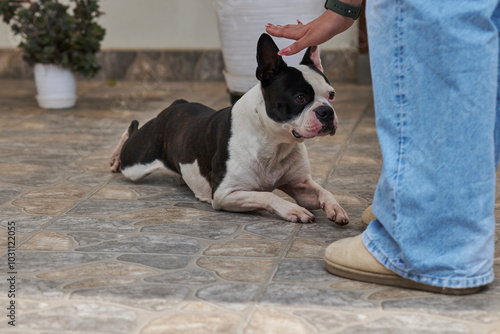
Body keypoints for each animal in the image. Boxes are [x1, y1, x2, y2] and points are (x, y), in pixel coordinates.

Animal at [110, 34, 348, 226]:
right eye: (300, 98)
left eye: (332, 95)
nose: (326, 112)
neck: (274, 141)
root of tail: (176, 105)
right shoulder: (225, 194)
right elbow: (268, 196)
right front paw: (292, 210)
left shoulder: (300, 186)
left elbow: (324, 191)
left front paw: (336, 208)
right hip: (137, 162)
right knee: (131, 131)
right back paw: (115, 158)